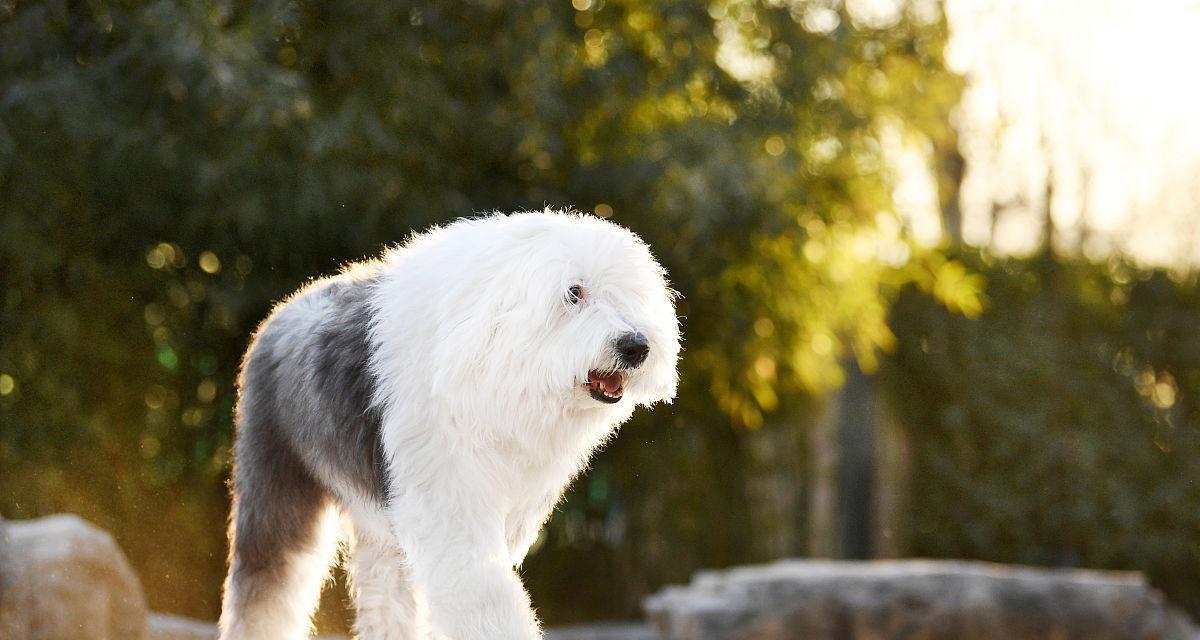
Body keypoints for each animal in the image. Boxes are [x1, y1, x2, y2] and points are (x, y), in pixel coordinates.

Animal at [219, 206, 681, 633]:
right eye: (574, 292)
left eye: (628, 293)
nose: (636, 346)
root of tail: (285, 307)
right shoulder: (447, 507)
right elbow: (483, 598)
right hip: (276, 484)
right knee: (266, 586)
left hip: (380, 526)